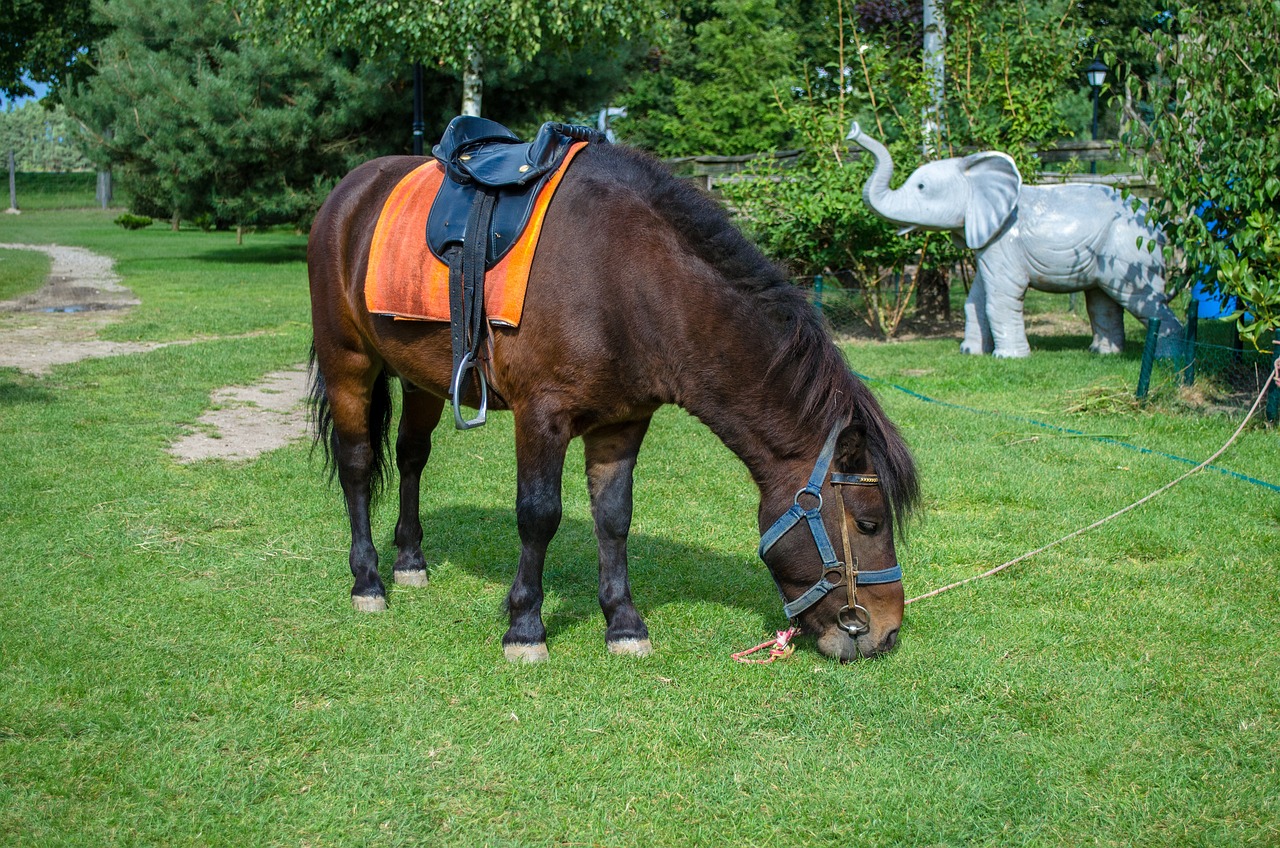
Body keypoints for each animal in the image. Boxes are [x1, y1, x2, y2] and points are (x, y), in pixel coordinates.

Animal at [304, 140, 916, 666]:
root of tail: (350, 190)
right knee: (357, 465)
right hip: (348, 363)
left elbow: (615, 518)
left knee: (411, 455)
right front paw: (525, 626)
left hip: (423, 379)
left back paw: (410, 560)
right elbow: (538, 516)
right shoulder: (541, 416)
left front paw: (623, 622)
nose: (888, 634)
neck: (628, 281)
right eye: (868, 524)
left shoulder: (623, 423)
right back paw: (369, 581)